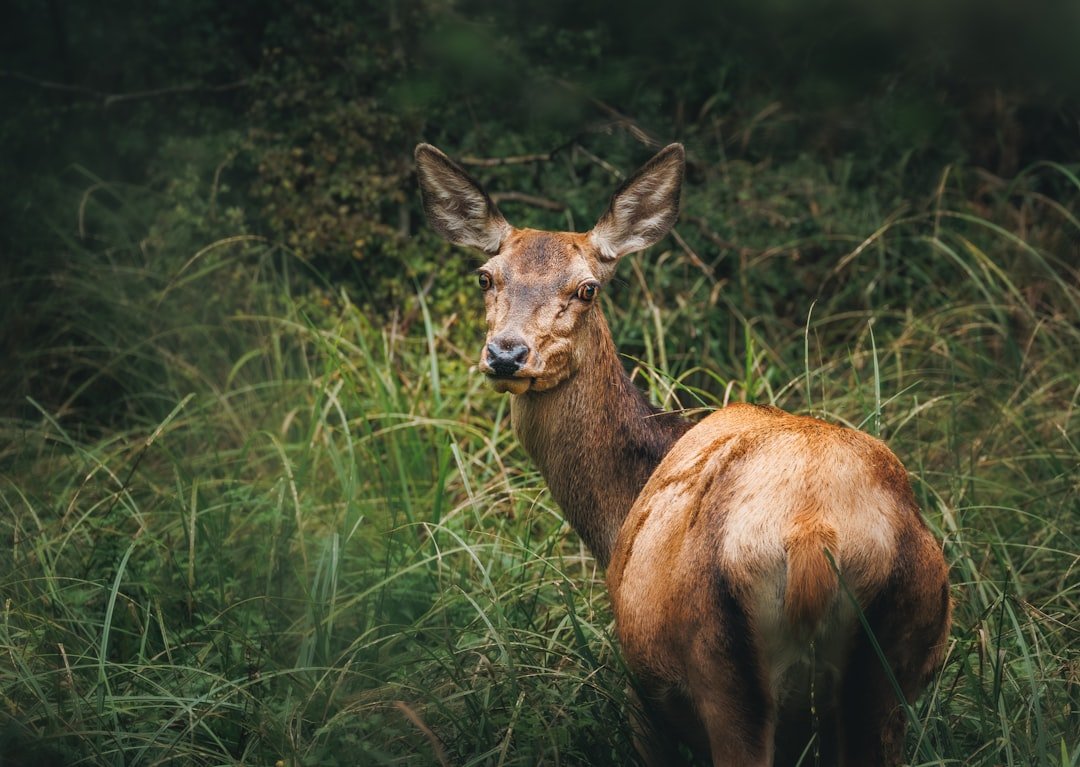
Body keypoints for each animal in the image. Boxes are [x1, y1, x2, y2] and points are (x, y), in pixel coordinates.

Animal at [414, 141, 952, 767]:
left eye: (587, 288)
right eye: (486, 277)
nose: (506, 354)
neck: (617, 514)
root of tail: (812, 536)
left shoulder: (643, 695)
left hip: (718, 664)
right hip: (895, 668)